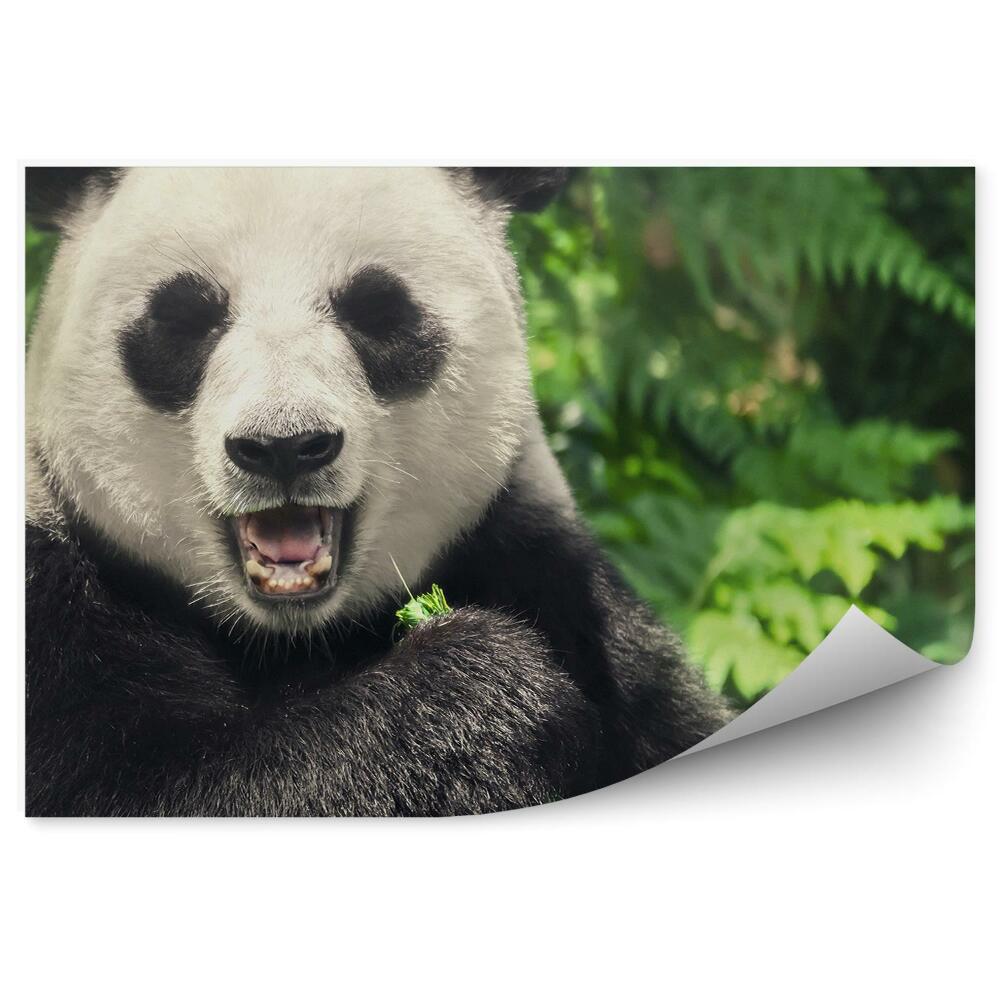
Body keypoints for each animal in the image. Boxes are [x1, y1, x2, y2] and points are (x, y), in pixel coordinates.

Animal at [25, 166, 732, 817]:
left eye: (376, 310)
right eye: (187, 316)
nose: (284, 445)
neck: (294, 639)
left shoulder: (552, 580)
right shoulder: (56, 609)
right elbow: (171, 788)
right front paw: (481, 699)